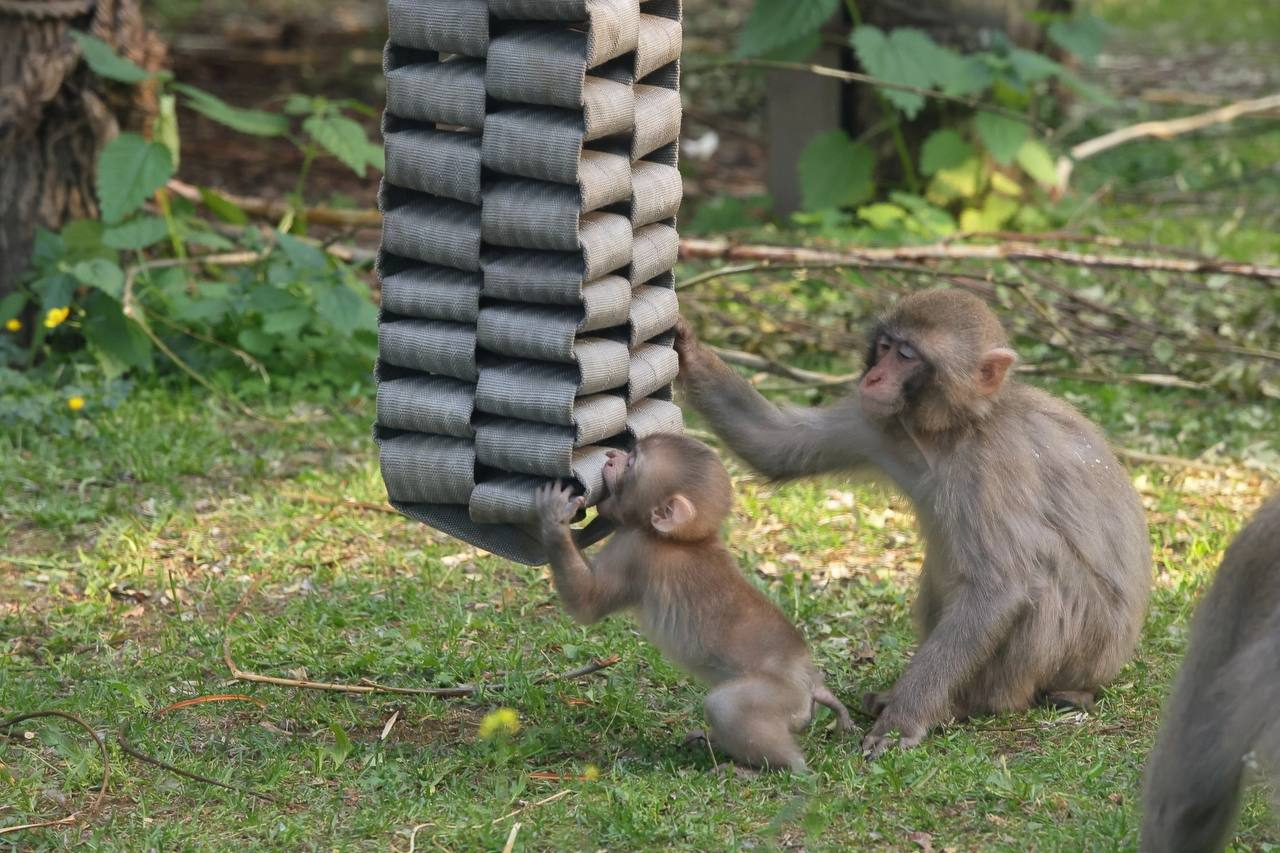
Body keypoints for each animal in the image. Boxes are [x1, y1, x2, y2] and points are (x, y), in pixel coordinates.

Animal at [535, 432, 855, 768]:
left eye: (632, 462)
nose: (611, 456)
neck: (683, 539)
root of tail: (808, 684)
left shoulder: (637, 549)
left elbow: (587, 603)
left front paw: (553, 518)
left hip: (780, 695)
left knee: (727, 707)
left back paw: (770, 767)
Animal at [675, 289, 1157, 753]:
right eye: (885, 347)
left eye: (907, 355)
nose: (872, 378)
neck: (948, 434)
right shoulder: (877, 421)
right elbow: (774, 445)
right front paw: (687, 346)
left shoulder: (990, 468)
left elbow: (998, 589)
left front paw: (903, 720)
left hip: (1080, 654)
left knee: (1041, 579)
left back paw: (977, 703)